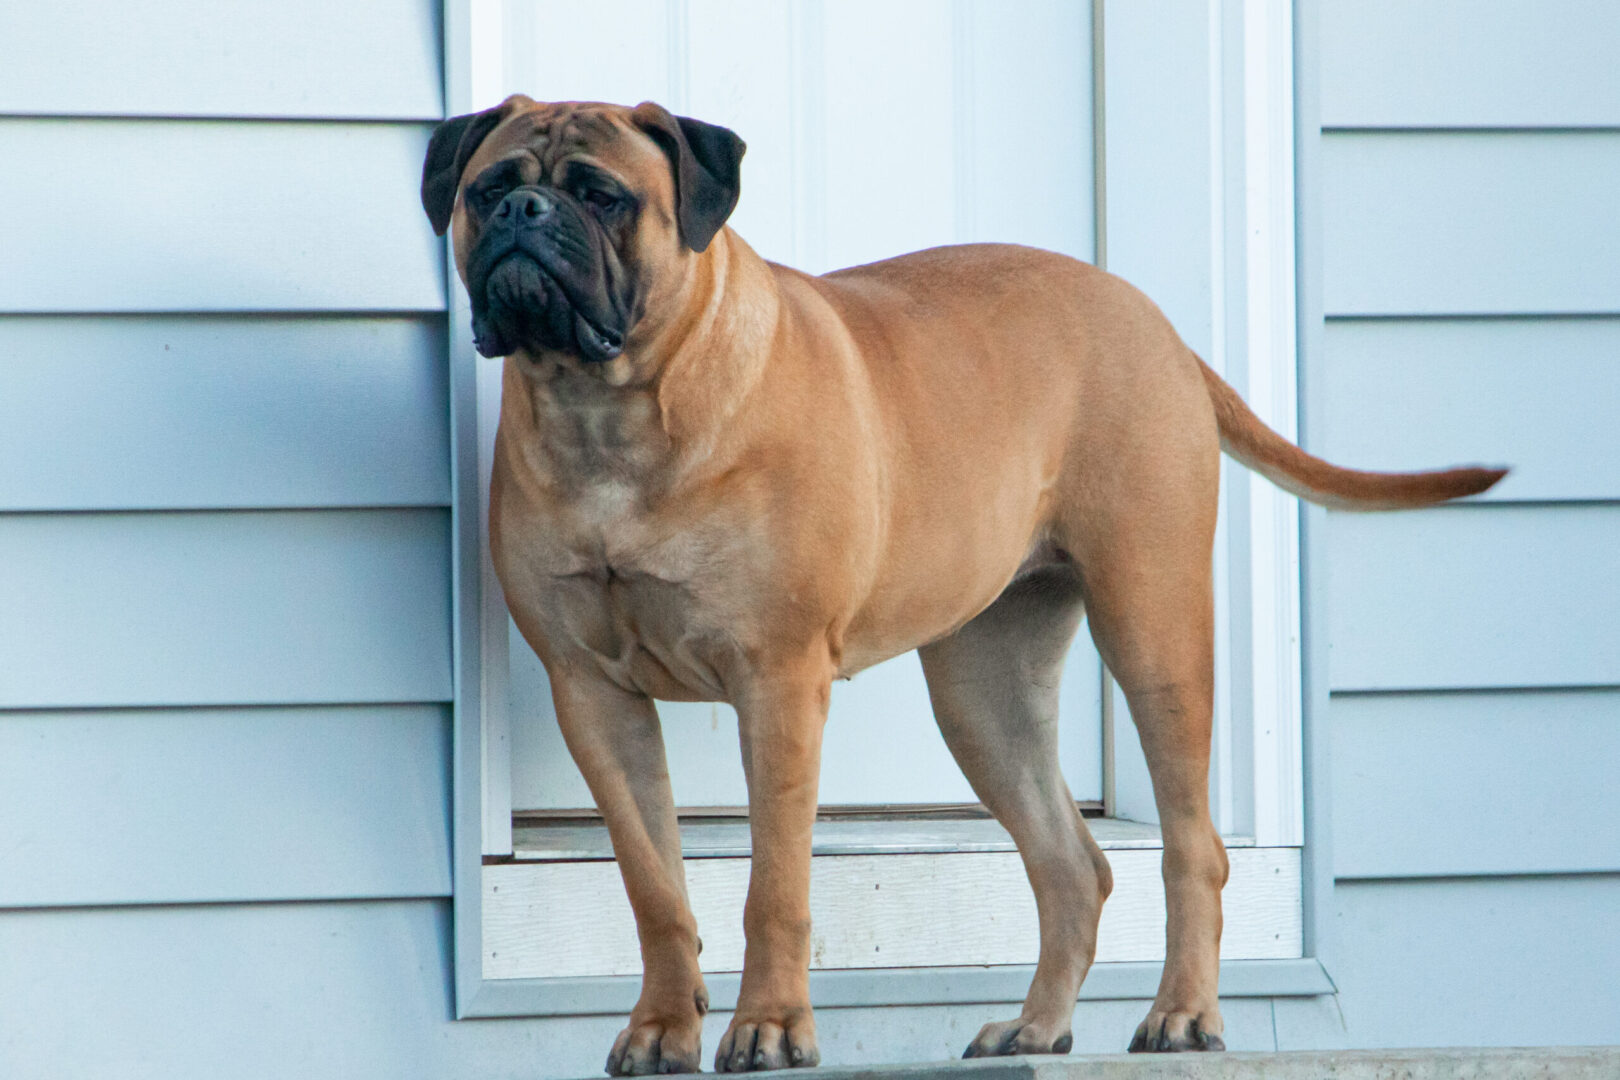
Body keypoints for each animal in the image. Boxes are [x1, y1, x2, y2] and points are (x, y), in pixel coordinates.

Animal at [421, 99, 1503, 1075]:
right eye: (487, 188)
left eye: (603, 196)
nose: (523, 214)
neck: (607, 414)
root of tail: (1155, 322)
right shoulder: (592, 694)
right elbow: (654, 887)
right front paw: (660, 1031)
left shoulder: (776, 682)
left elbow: (775, 884)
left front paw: (769, 1029)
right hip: (987, 693)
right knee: (1072, 866)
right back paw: (1035, 1028)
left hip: (1153, 628)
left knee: (1193, 846)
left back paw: (1184, 1016)